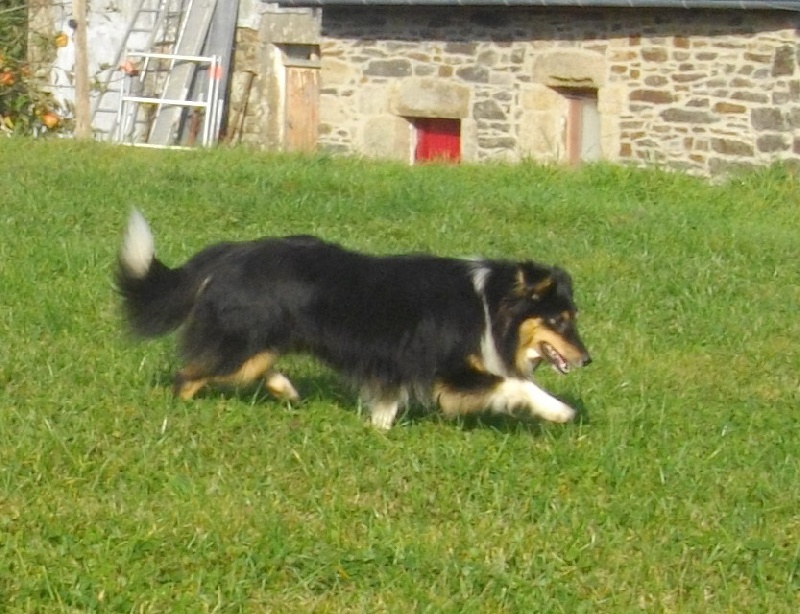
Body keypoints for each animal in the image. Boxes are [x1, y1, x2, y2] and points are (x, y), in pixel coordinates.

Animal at [115, 211, 592, 428]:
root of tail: (232, 252)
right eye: (559, 321)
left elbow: (386, 401)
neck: (489, 304)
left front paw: (378, 428)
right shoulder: (449, 368)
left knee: (250, 369)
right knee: (188, 376)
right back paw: (181, 413)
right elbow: (517, 384)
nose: (587, 360)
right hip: (241, 342)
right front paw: (561, 411)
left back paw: (286, 389)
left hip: (257, 344)